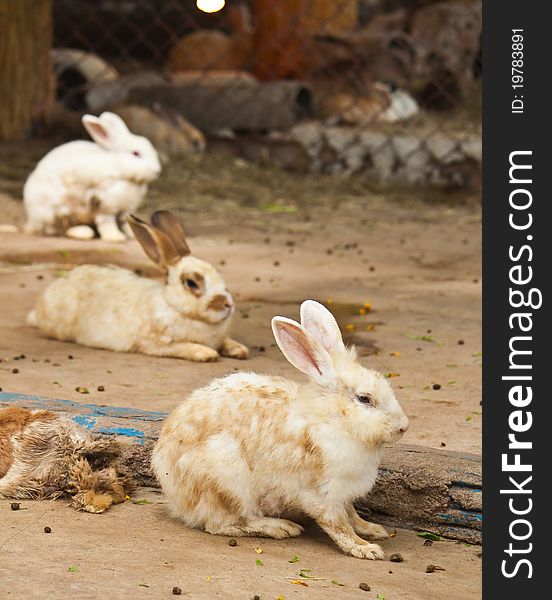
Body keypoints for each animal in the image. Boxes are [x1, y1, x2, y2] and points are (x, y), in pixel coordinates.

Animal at [24, 111, 162, 243]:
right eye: (135, 153)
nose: (157, 171)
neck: (119, 169)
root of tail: (31, 219)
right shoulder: (105, 205)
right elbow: (107, 223)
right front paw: (115, 237)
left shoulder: (125, 210)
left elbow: (126, 224)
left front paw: (133, 235)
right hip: (55, 212)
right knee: (57, 229)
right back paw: (83, 232)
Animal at [27, 210, 248, 360]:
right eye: (191, 283)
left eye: (218, 273)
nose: (228, 304)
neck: (175, 308)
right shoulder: (156, 344)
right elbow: (184, 347)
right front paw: (207, 353)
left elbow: (227, 341)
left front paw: (239, 350)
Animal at [152, 300, 410, 556]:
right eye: (364, 399)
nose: (403, 427)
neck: (332, 419)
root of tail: (174, 493)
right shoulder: (322, 495)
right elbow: (338, 525)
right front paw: (365, 549)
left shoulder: (344, 495)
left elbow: (352, 515)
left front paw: (374, 530)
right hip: (226, 481)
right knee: (224, 523)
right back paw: (281, 527)